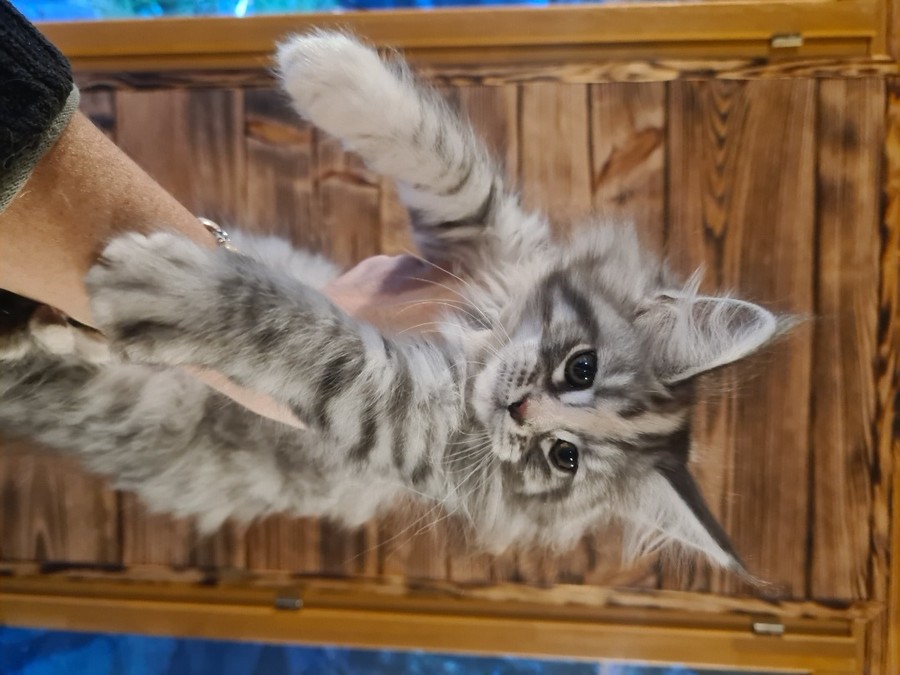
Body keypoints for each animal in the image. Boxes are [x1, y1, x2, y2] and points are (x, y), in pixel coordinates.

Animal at [0, 31, 784, 580]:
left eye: (563, 458)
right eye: (581, 368)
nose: (519, 410)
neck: (478, 333)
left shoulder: (404, 419)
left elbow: (306, 335)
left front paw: (187, 295)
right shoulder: (479, 240)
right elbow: (456, 170)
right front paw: (328, 71)